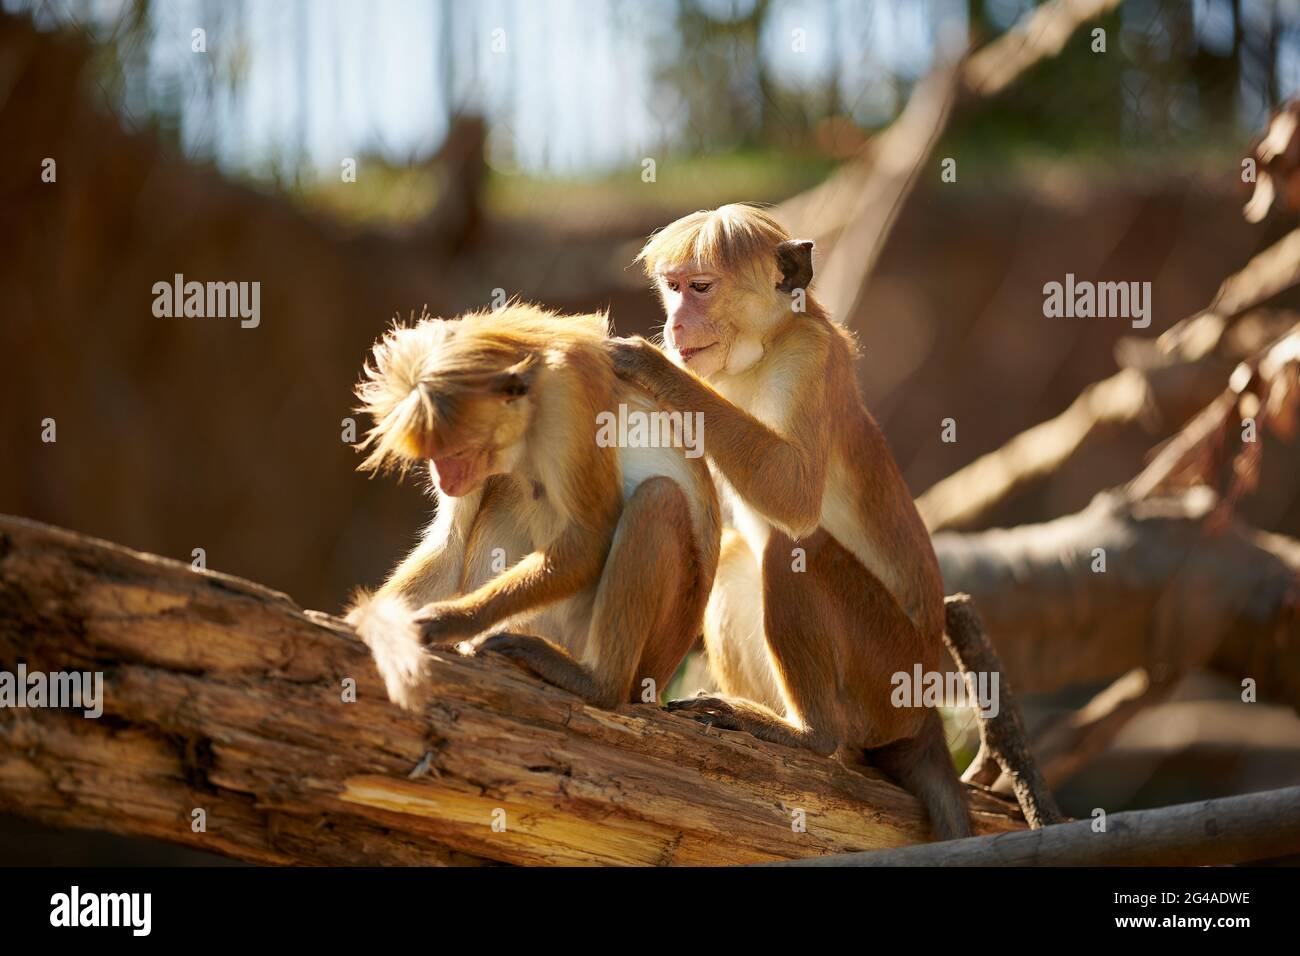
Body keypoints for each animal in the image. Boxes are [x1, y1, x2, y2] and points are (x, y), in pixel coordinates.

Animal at [345, 303, 722, 712]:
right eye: (435, 456)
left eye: (456, 453)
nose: (443, 478)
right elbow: (451, 546)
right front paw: (369, 618)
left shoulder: (568, 390)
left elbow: (590, 538)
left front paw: (453, 620)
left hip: (649, 647)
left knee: (657, 497)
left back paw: (597, 684)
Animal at [613, 201, 972, 837]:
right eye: (672, 289)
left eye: (700, 288)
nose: (676, 325)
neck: (759, 351)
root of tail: (924, 713)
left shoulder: (809, 358)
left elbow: (795, 498)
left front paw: (649, 365)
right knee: (741, 556)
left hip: (885, 671)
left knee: (789, 548)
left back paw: (811, 736)